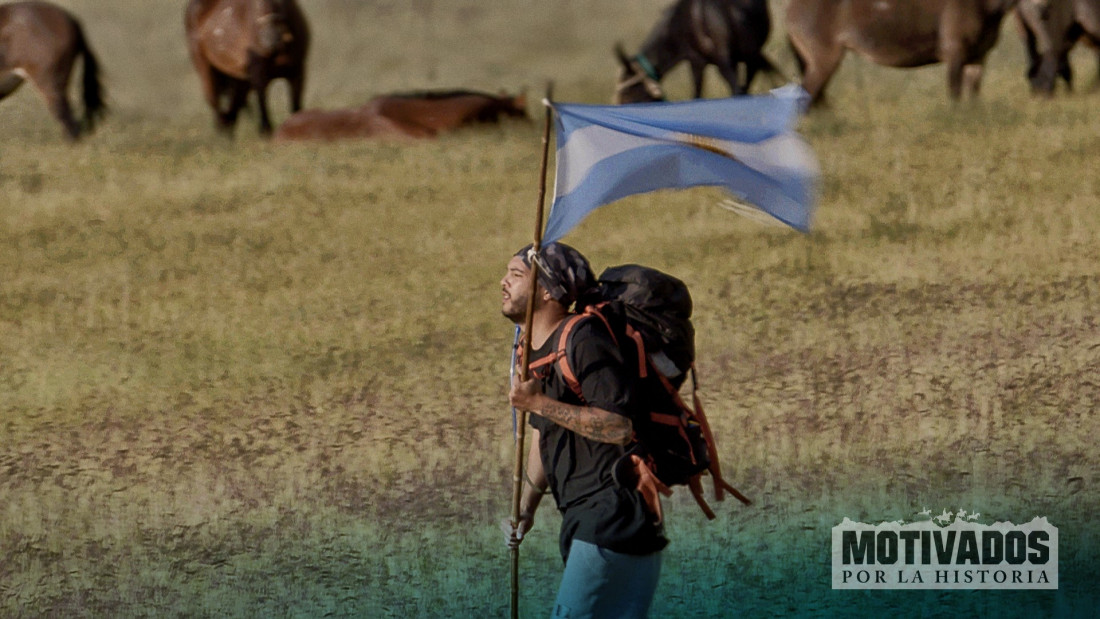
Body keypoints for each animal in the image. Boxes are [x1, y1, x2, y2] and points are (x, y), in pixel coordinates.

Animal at [182, 0, 308, 136]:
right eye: (255, 4)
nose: (270, 40)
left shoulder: (297, 73)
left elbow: (296, 106)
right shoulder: (258, 74)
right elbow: (261, 98)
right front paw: (266, 129)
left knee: (233, 105)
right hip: (205, 68)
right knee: (214, 99)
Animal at [611, 0, 783, 102]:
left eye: (627, 91)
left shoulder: (696, 60)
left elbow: (696, 95)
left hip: (726, 62)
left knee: (737, 91)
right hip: (751, 58)